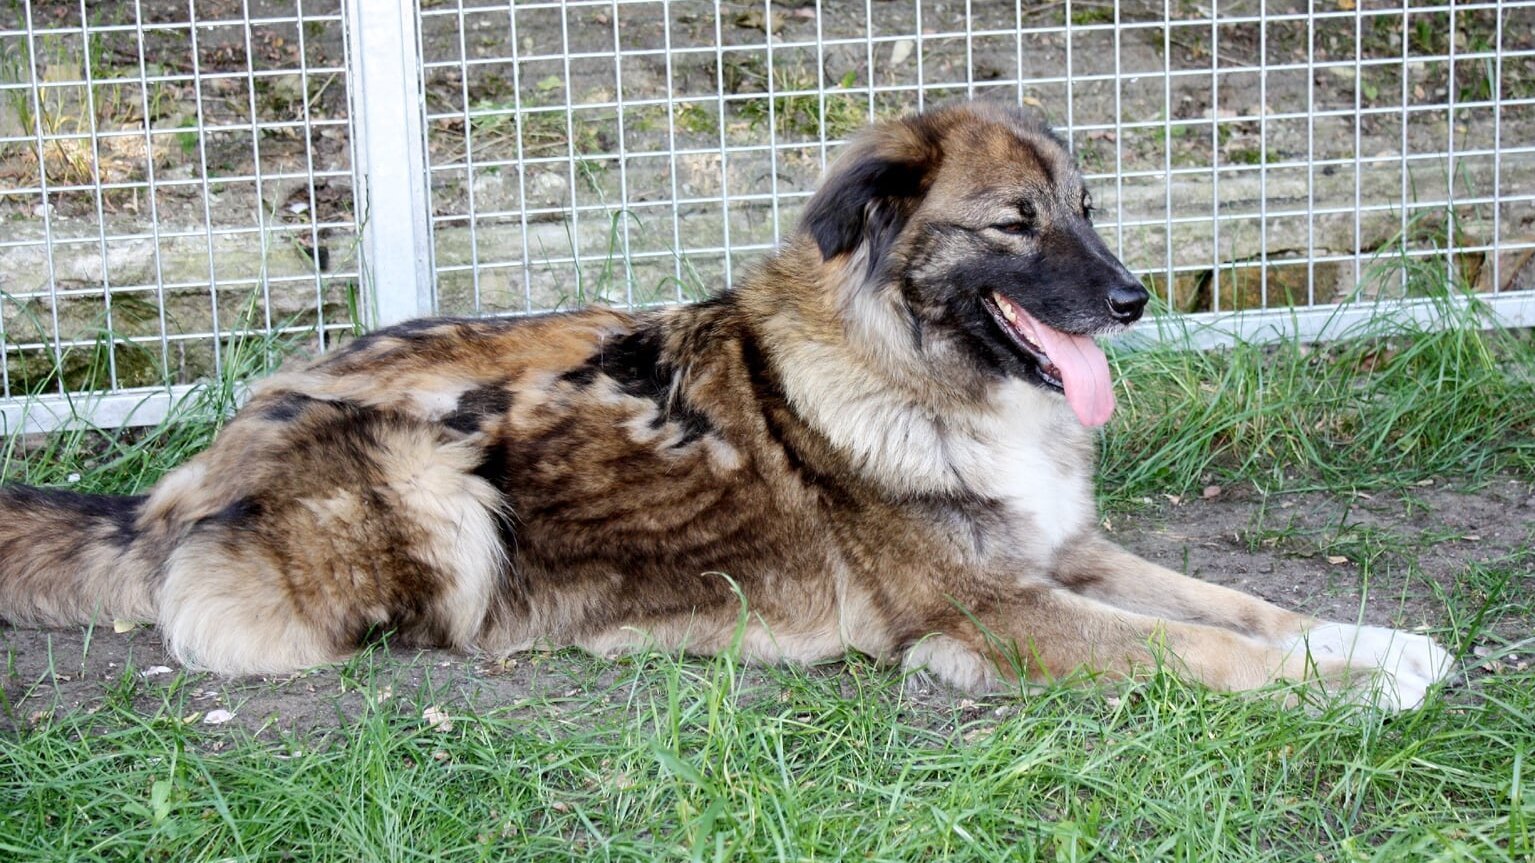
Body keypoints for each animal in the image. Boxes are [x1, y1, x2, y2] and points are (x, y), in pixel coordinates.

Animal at [0, 101, 1451, 709]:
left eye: (1087, 212)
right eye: (1014, 223)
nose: (1136, 296)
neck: (913, 368)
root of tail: (182, 479)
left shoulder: (1064, 549)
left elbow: (1236, 599)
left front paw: (1373, 639)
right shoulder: (997, 605)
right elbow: (1199, 644)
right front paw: (1350, 681)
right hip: (437, 481)